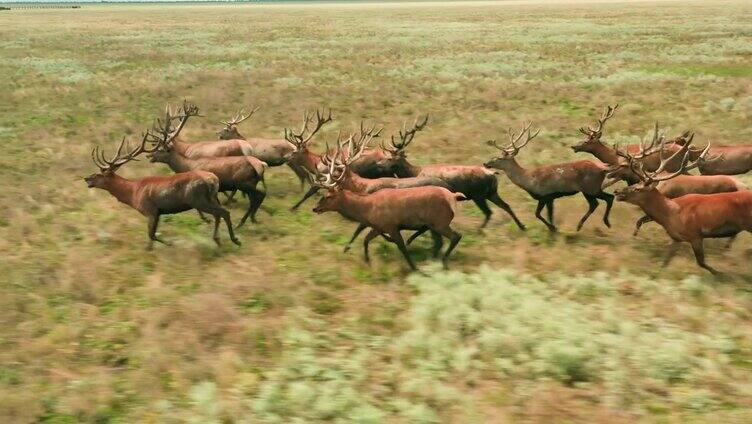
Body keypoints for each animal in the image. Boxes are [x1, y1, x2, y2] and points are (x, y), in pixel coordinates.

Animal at [81, 134, 238, 250]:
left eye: (99, 174)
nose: (86, 178)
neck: (133, 193)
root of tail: (213, 180)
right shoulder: (158, 213)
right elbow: (152, 235)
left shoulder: (150, 210)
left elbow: (151, 235)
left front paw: (167, 244)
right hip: (212, 198)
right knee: (219, 214)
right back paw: (219, 240)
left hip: (199, 200)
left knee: (224, 212)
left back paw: (234, 239)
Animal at [310, 147, 464, 270]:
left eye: (328, 196)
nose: (315, 208)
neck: (367, 208)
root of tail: (453, 195)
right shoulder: (378, 227)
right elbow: (365, 240)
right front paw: (367, 260)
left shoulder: (390, 226)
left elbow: (402, 248)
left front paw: (415, 268)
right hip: (435, 224)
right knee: (440, 241)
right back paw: (435, 259)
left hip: (439, 222)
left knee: (455, 236)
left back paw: (442, 262)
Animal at [374, 114, 524, 230]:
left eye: (390, 158)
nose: (378, 164)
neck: (414, 172)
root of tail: (493, 174)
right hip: (491, 193)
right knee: (506, 206)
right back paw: (522, 226)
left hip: (479, 194)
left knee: (489, 212)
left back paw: (479, 230)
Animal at [484, 121, 612, 232]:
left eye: (500, 158)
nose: (485, 163)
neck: (529, 179)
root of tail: (603, 170)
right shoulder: (551, 198)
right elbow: (550, 215)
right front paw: (553, 228)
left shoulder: (545, 195)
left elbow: (537, 214)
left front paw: (552, 228)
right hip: (590, 189)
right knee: (598, 203)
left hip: (591, 188)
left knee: (605, 199)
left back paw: (601, 223)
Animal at [608, 141, 748, 274]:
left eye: (624, 165)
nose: (617, 191)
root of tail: (743, 186)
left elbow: (640, 221)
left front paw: (634, 237)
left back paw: (726, 248)